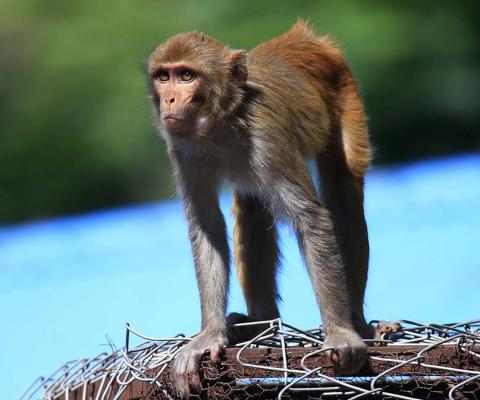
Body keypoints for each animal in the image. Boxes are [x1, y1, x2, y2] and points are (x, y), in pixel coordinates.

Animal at [146, 20, 376, 396]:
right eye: (163, 77)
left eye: (187, 75)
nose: (170, 99)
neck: (222, 122)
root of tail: (299, 38)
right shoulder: (182, 148)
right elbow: (207, 228)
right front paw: (210, 335)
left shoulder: (267, 135)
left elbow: (311, 218)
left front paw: (341, 334)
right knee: (252, 205)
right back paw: (260, 321)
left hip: (347, 94)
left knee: (344, 196)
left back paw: (357, 321)